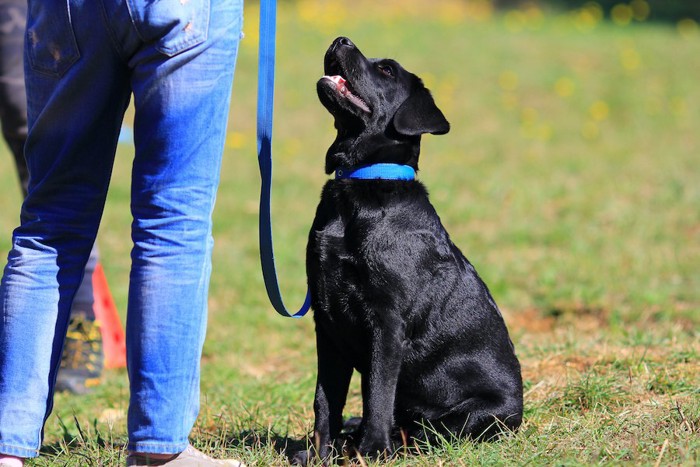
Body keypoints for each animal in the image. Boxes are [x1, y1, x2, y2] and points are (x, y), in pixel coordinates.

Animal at [298, 37, 524, 464]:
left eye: (386, 69)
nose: (340, 40)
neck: (361, 186)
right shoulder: (327, 322)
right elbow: (325, 400)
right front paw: (321, 454)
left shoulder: (386, 321)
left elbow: (377, 393)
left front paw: (372, 451)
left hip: (475, 415)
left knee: (426, 431)